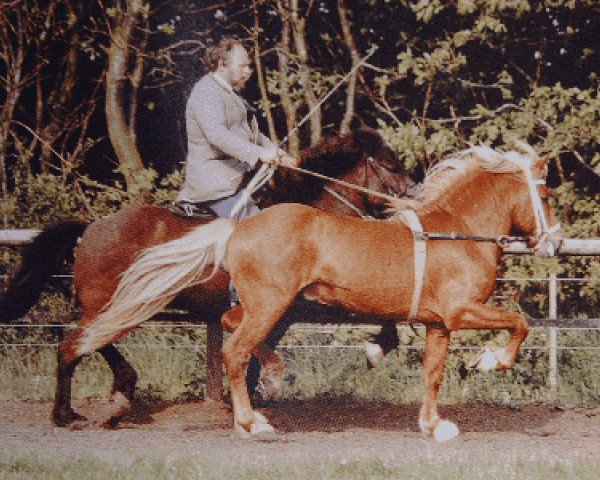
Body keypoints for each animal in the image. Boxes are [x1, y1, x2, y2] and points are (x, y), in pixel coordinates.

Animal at [0, 128, 412, 428]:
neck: (313, 221)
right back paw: (68, 413)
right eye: (391, 165)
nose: (412, 194)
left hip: (127, 305)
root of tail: (91, 227)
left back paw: (116, 395)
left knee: (92, 343)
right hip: (114, 305)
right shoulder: (304, 306)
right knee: (75, 346)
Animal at [84, 141, 564, 440]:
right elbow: (520, 323)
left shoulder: (438, 324)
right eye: (544, 195)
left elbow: (432, 374)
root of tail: (238, 228)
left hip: (268, 305)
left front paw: (434, 426)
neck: (457, 233)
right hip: (272, 305)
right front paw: (490, 361)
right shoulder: (462, 311)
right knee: (234, 351)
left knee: (231, 326)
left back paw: (269, 382)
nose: (555, 242)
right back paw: (253, 422)